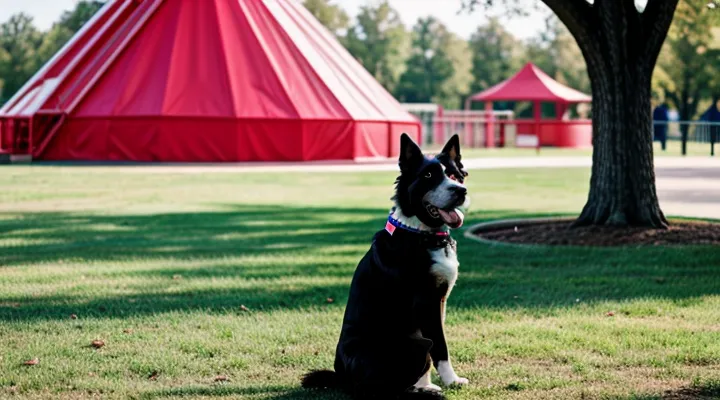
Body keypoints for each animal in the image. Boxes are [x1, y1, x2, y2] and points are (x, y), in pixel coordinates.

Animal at [300, 134, 470, 400]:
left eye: (455, 175)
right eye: (428, 176)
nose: (461, 191)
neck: (420, 234)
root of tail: (343, 377)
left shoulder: (439, 301)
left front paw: (426, 384)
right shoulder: (426, 302)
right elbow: (440, 347)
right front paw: (450, 380)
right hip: (410, 345)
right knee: (380, 389)